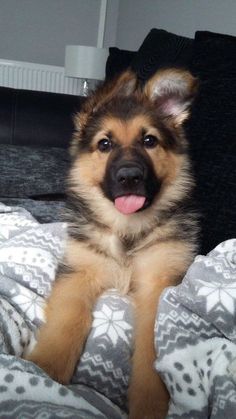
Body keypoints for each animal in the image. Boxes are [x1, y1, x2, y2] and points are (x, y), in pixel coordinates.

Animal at [27, 67, 199, 418]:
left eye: (149, 141)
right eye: (104, 144)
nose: (129, 176)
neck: (126, 230)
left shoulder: (157, 282)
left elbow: (150, 347)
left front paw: (148, 403)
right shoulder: (79, 271)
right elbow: (68, 319)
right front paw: (45, 373)